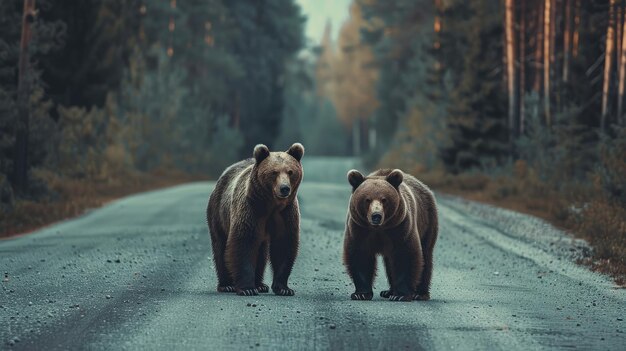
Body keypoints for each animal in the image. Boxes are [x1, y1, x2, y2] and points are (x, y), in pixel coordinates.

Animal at [206, 143, 304, 296]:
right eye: (274, 172)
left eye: (290, 171)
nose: (284, 188)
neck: (272, 204)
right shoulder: (252, 209)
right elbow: (244, 242)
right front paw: (247, 288)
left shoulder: (286, 213)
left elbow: (283, 244)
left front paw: (284, 288)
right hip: (218, 213)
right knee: (220, 247)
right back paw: (227, 285)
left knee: (261, 252)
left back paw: (260, 285)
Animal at [342, 169, 434, 302]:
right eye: (367, 199)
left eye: (384, 199)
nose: (376, 215)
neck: (379, 228)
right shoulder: (359, 229)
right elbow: (360, 256)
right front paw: (361, 294)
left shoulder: (401, 228)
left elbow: (405, 256)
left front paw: (400, 295)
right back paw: (388, 291)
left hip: (427, 221)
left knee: (425, 256)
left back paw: (419, 293)